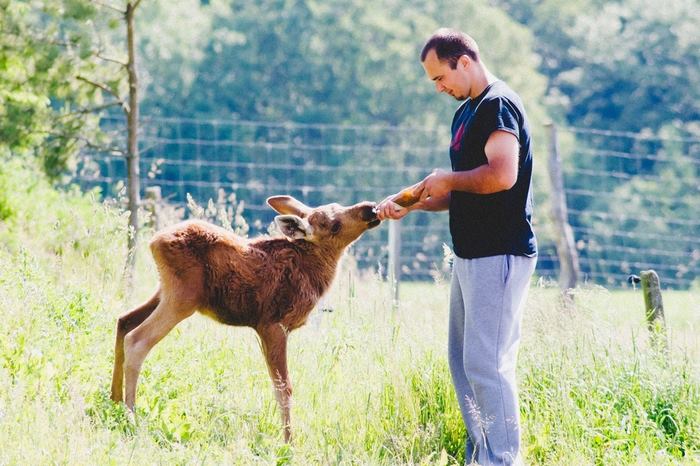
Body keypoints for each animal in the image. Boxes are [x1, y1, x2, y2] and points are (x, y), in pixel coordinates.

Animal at [110, 195, 381, 442]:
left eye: (339, 205)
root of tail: (154, 242)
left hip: (164, 292)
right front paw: (289, 443)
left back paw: (114, 402)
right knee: (137, 340)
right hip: (181, 298)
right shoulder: (273, 324)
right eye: (333, 225)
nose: (370, 208)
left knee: (124, 321)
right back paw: (131, 417)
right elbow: (284, 387)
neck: (314, 271)